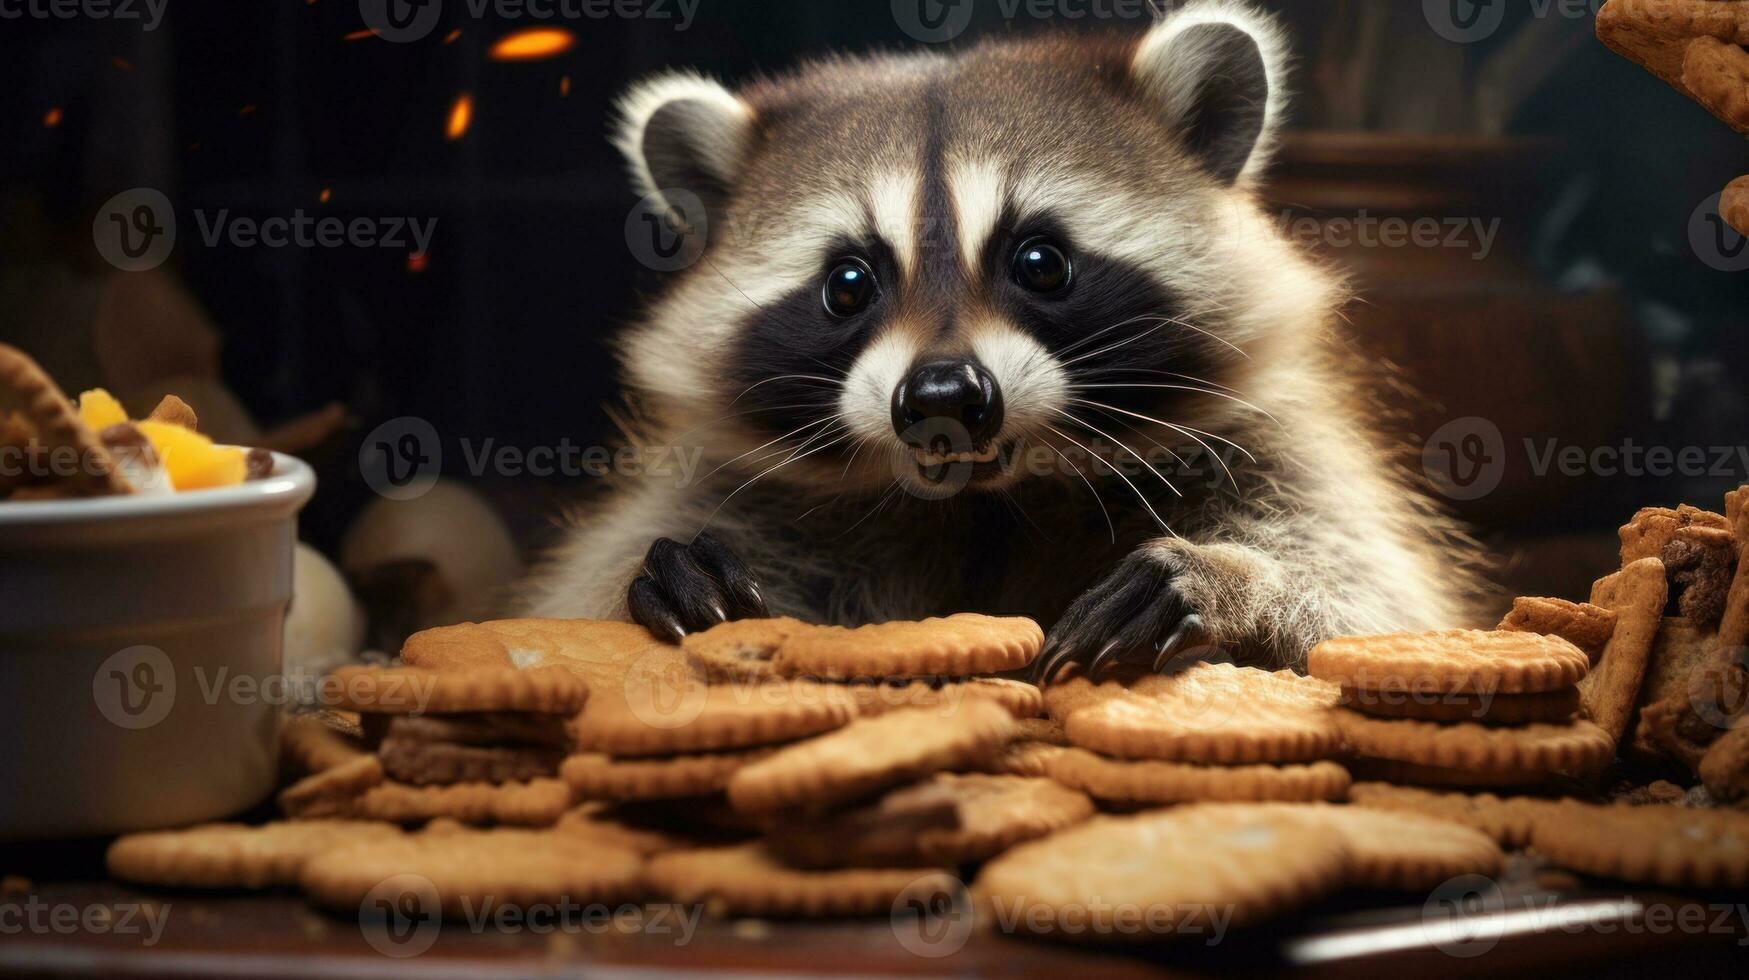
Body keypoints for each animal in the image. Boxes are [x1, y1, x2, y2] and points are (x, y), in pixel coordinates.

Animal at [514, 0, 1476, 682]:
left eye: (1040, 262)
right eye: (847, 284)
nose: (943, 398)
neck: (990, 500)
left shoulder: (1269, 440)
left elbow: (1368, 597)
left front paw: (1235, 578)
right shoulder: (733, 486)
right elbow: (580, 597)